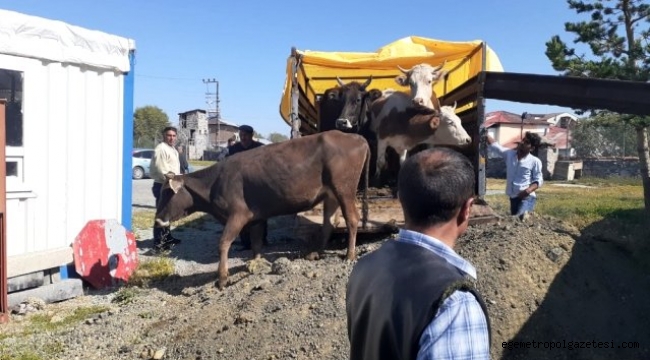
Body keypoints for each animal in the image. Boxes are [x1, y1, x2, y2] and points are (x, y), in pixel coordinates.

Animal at [151, 129, 364, 290]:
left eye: (167, 193)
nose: (158, 219)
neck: (215, 183)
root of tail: (354, 136)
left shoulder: (238, 215)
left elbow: (224, 243)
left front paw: (222, 278)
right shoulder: (256, 217)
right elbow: (256, 242)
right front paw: (255, 264)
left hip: (344, 190)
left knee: (352, 219)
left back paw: (349, 255)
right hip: (331, 196)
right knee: (329, 223)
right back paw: (317, 252)